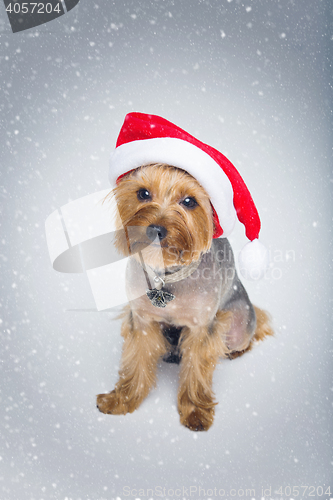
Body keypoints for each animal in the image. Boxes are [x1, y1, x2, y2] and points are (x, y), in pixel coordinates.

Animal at [96, 156, 272, 430]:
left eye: (189, 201)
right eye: (143, 193)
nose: (155, 229)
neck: (166, 276)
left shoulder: (202, 328)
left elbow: (196, 369)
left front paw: (195, 410)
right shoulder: (142, 320)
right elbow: (136, 361)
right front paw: (122, 399)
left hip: (238, 324)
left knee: (244, 336)